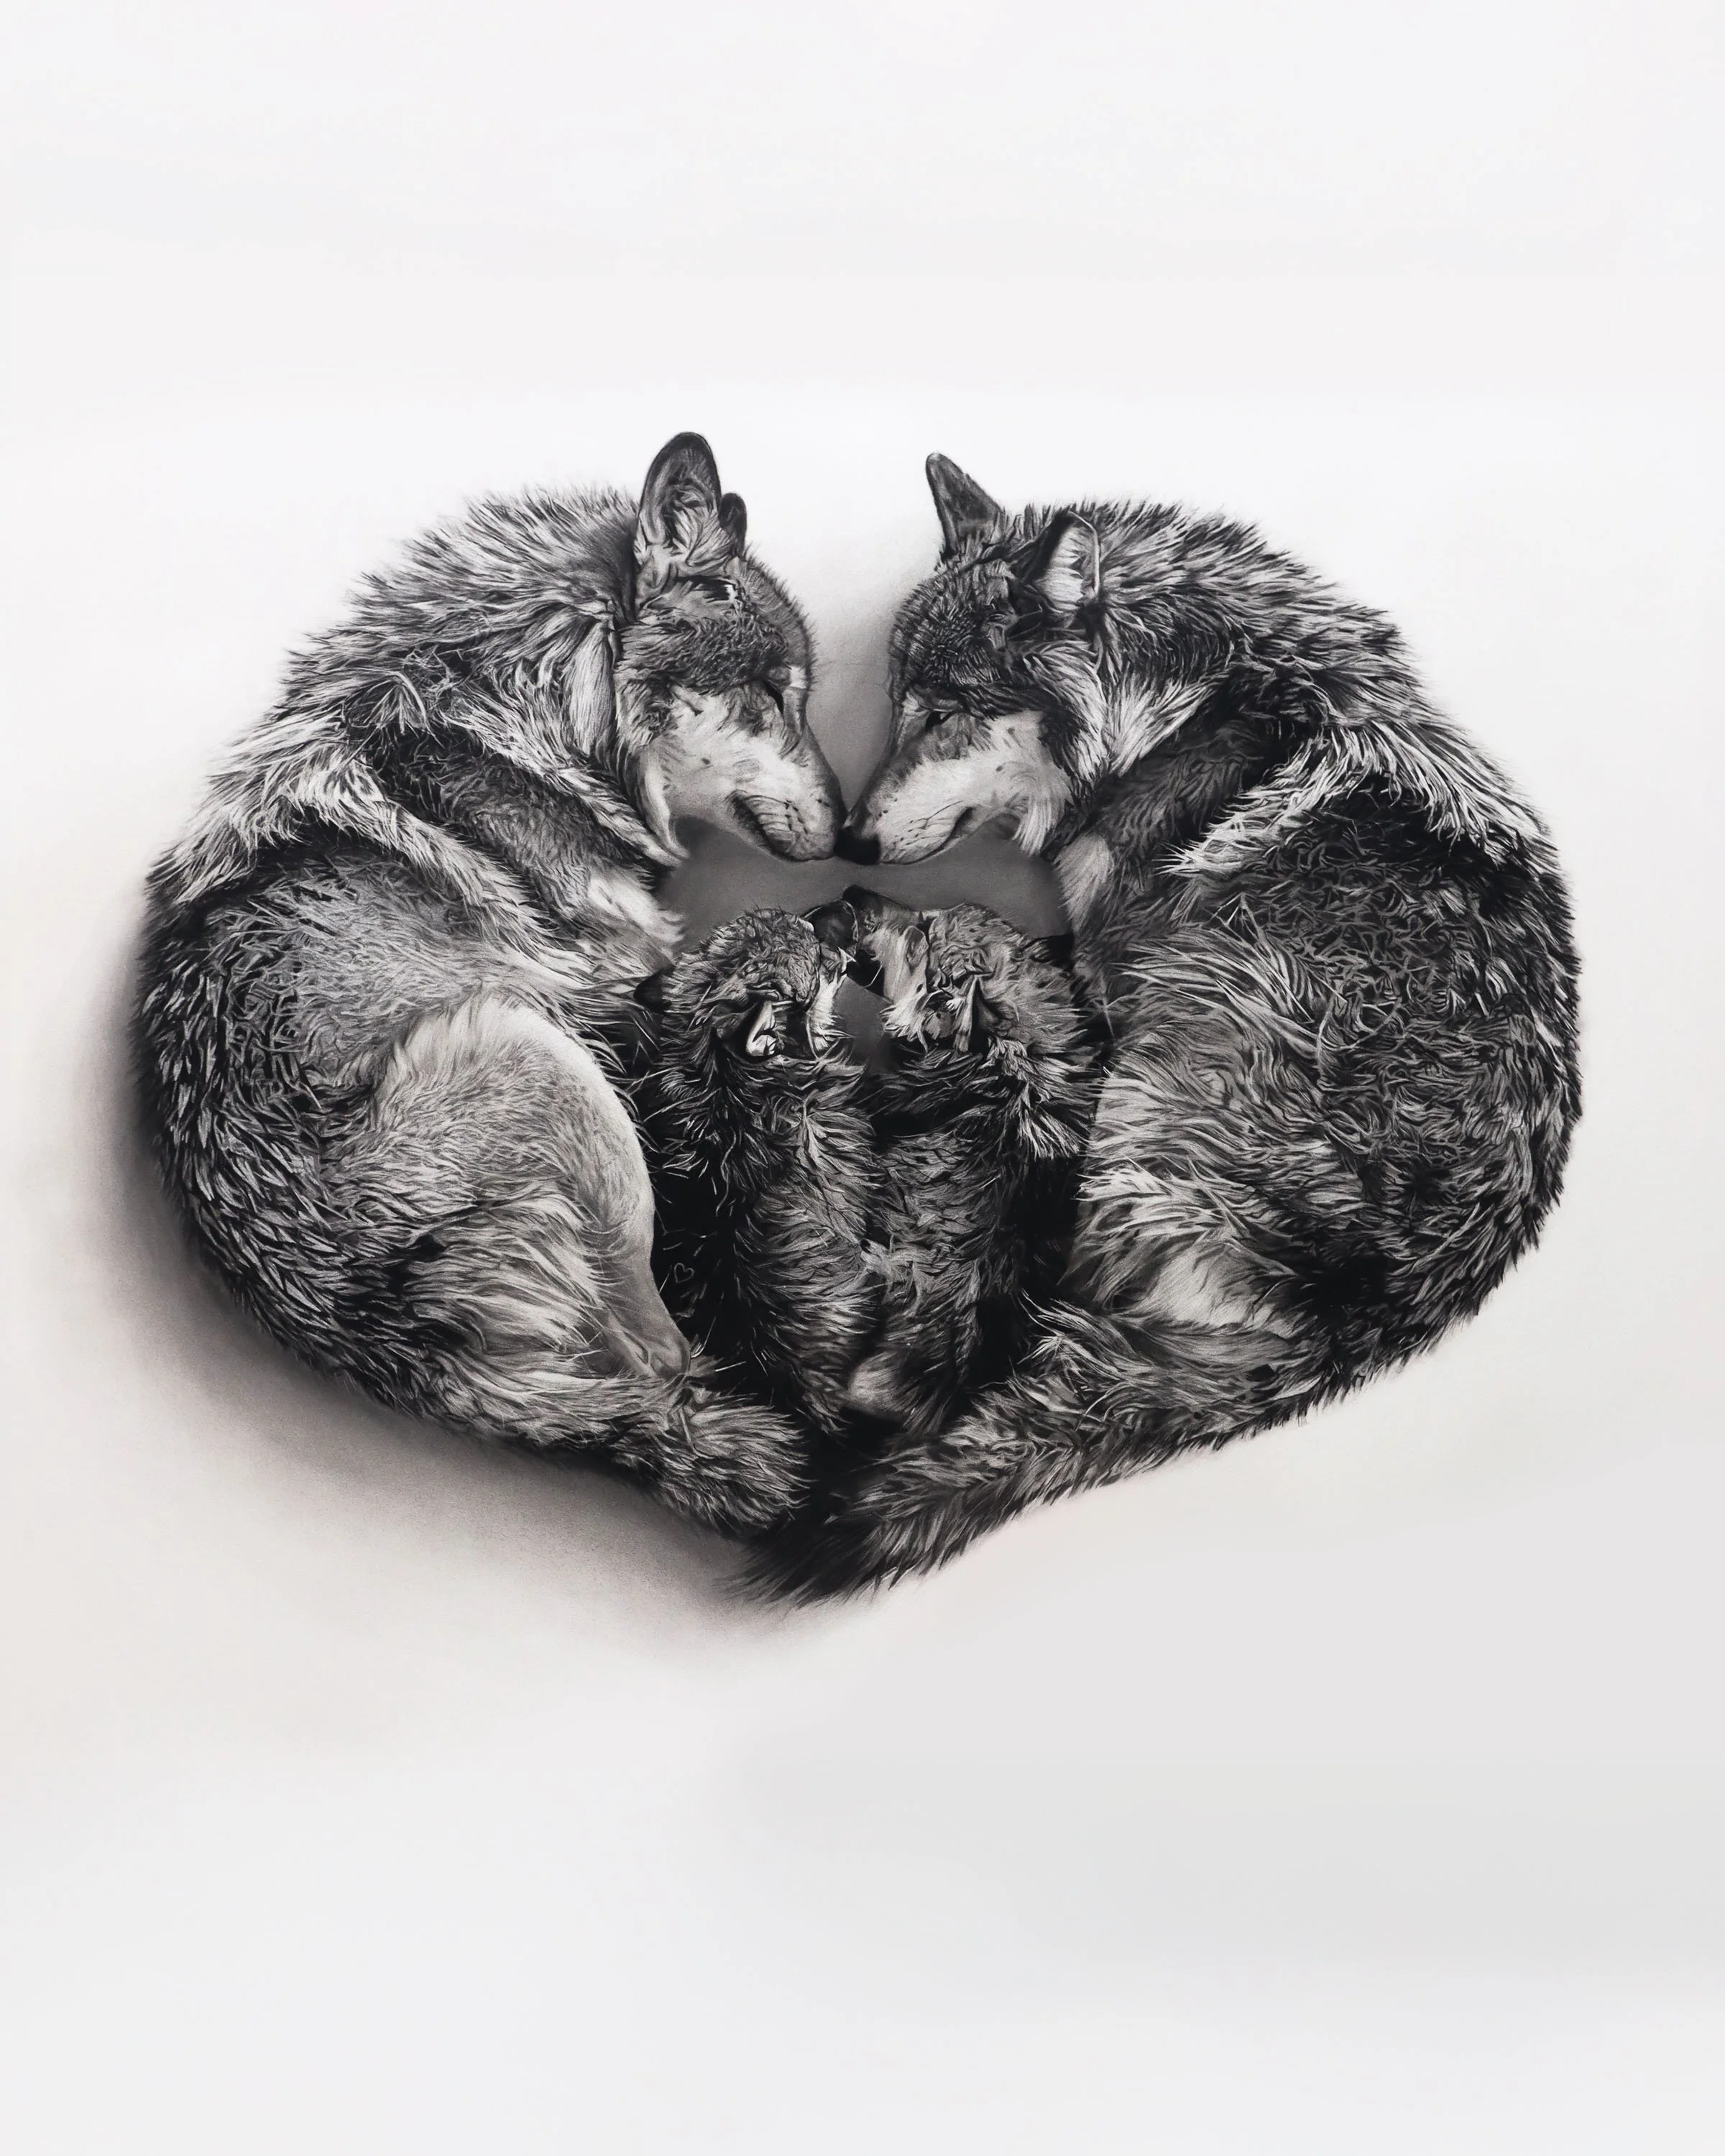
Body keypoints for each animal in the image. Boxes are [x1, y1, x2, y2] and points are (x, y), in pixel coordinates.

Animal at [136, 434, 846, 1536]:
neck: (535, 721)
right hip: (542, 1061)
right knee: (661, 1355)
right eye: (774, 697)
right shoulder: (624, 980)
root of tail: (384, 1335)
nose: (854, 828)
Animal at [767, 455, 1582, 1595]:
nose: (852, 839)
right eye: (896, 708)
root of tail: (1376, 1320)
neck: (1180, 716)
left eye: (949, 711)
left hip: (1145, 1096)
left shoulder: (1109, 967)